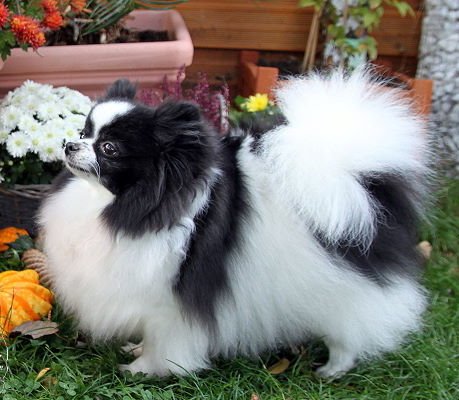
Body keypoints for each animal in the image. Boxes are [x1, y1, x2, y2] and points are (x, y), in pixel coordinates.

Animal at [39, 70, 431, 379]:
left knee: (349, 332)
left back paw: (333, 369)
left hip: (347, 292)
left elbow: (162, 341)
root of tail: (359, 179)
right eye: (83, 132)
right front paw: (136, 351)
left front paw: (143, 369)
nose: (69, 144)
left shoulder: (170, 302)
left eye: (109, 148)